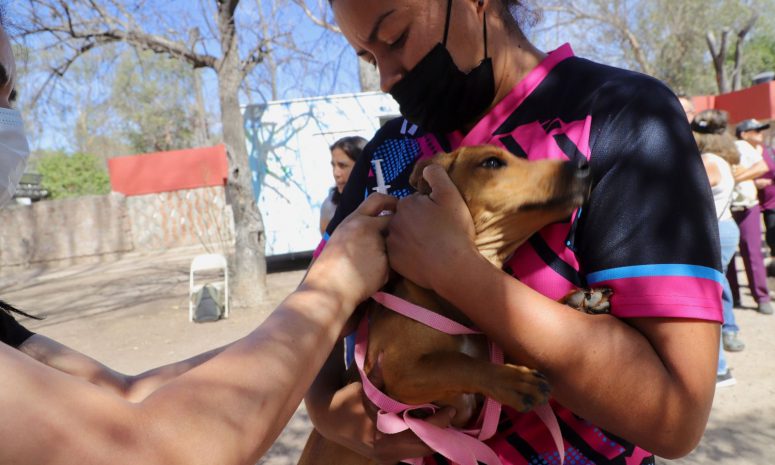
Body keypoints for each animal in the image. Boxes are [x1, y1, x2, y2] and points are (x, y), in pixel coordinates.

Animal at [298, 145, 596, 464]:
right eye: (492, 162)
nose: (584, 165)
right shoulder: (401, 373)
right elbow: (458, 362)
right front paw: (515, 381)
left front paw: (576, 302)